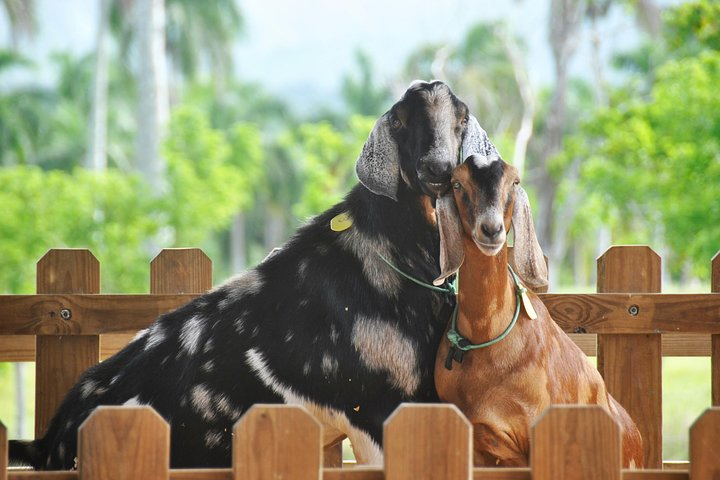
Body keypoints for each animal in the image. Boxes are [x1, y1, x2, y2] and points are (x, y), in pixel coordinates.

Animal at [9, 81, 500, 469]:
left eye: (461, 117)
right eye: (399, 120)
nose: (436, 169)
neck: (391, 249)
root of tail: (47, 441)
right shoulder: (380, 410)